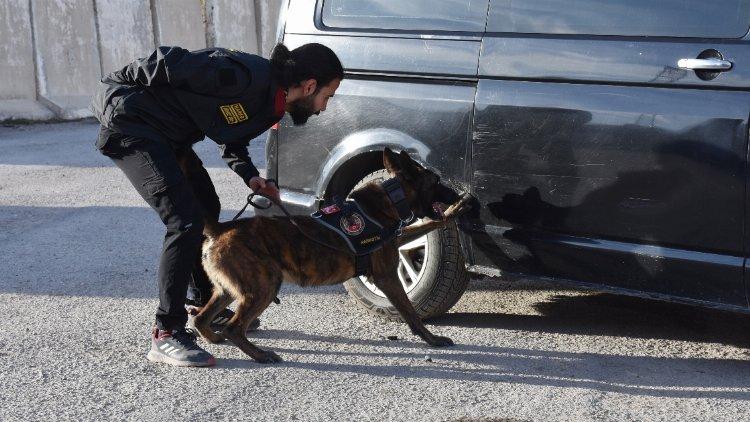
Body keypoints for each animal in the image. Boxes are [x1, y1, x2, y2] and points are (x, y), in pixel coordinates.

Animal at [185, 148, 472, 362]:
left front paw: (454, 211)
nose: (455, 194)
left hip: (228, 290)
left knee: (200, 318)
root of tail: (221, 228)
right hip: (263, 286)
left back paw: (214, 337)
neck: (390, 199)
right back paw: (260, 355)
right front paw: (432, 339)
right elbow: (411, 312)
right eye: (436, 182)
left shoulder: (398, 238)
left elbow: (425, 225)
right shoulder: (387, 276)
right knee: (233, 328)